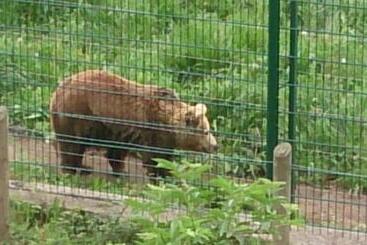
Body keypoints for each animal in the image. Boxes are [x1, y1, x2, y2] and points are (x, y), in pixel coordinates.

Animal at [49, 70, 218, 177]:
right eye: (206, 131)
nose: (215, 146)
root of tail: (59, 88)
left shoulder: (120, 131)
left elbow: (117, 152)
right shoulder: (151, 131)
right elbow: (154, 157)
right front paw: (161, 176)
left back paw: (83, 167)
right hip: (78, 115)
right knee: (71, 145)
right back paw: (74, 169)